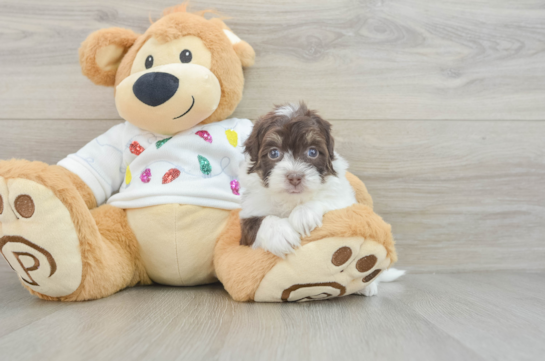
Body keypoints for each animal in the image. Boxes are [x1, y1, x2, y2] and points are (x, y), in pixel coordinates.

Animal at [238, 102, 356, 258]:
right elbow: (258, 221)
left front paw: (304, 214)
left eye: (312, 152)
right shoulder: (249, 212)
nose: (294, 178)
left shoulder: (345, 199)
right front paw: (280, 233)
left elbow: (329, 200)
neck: (291, 200)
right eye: (273, 153)